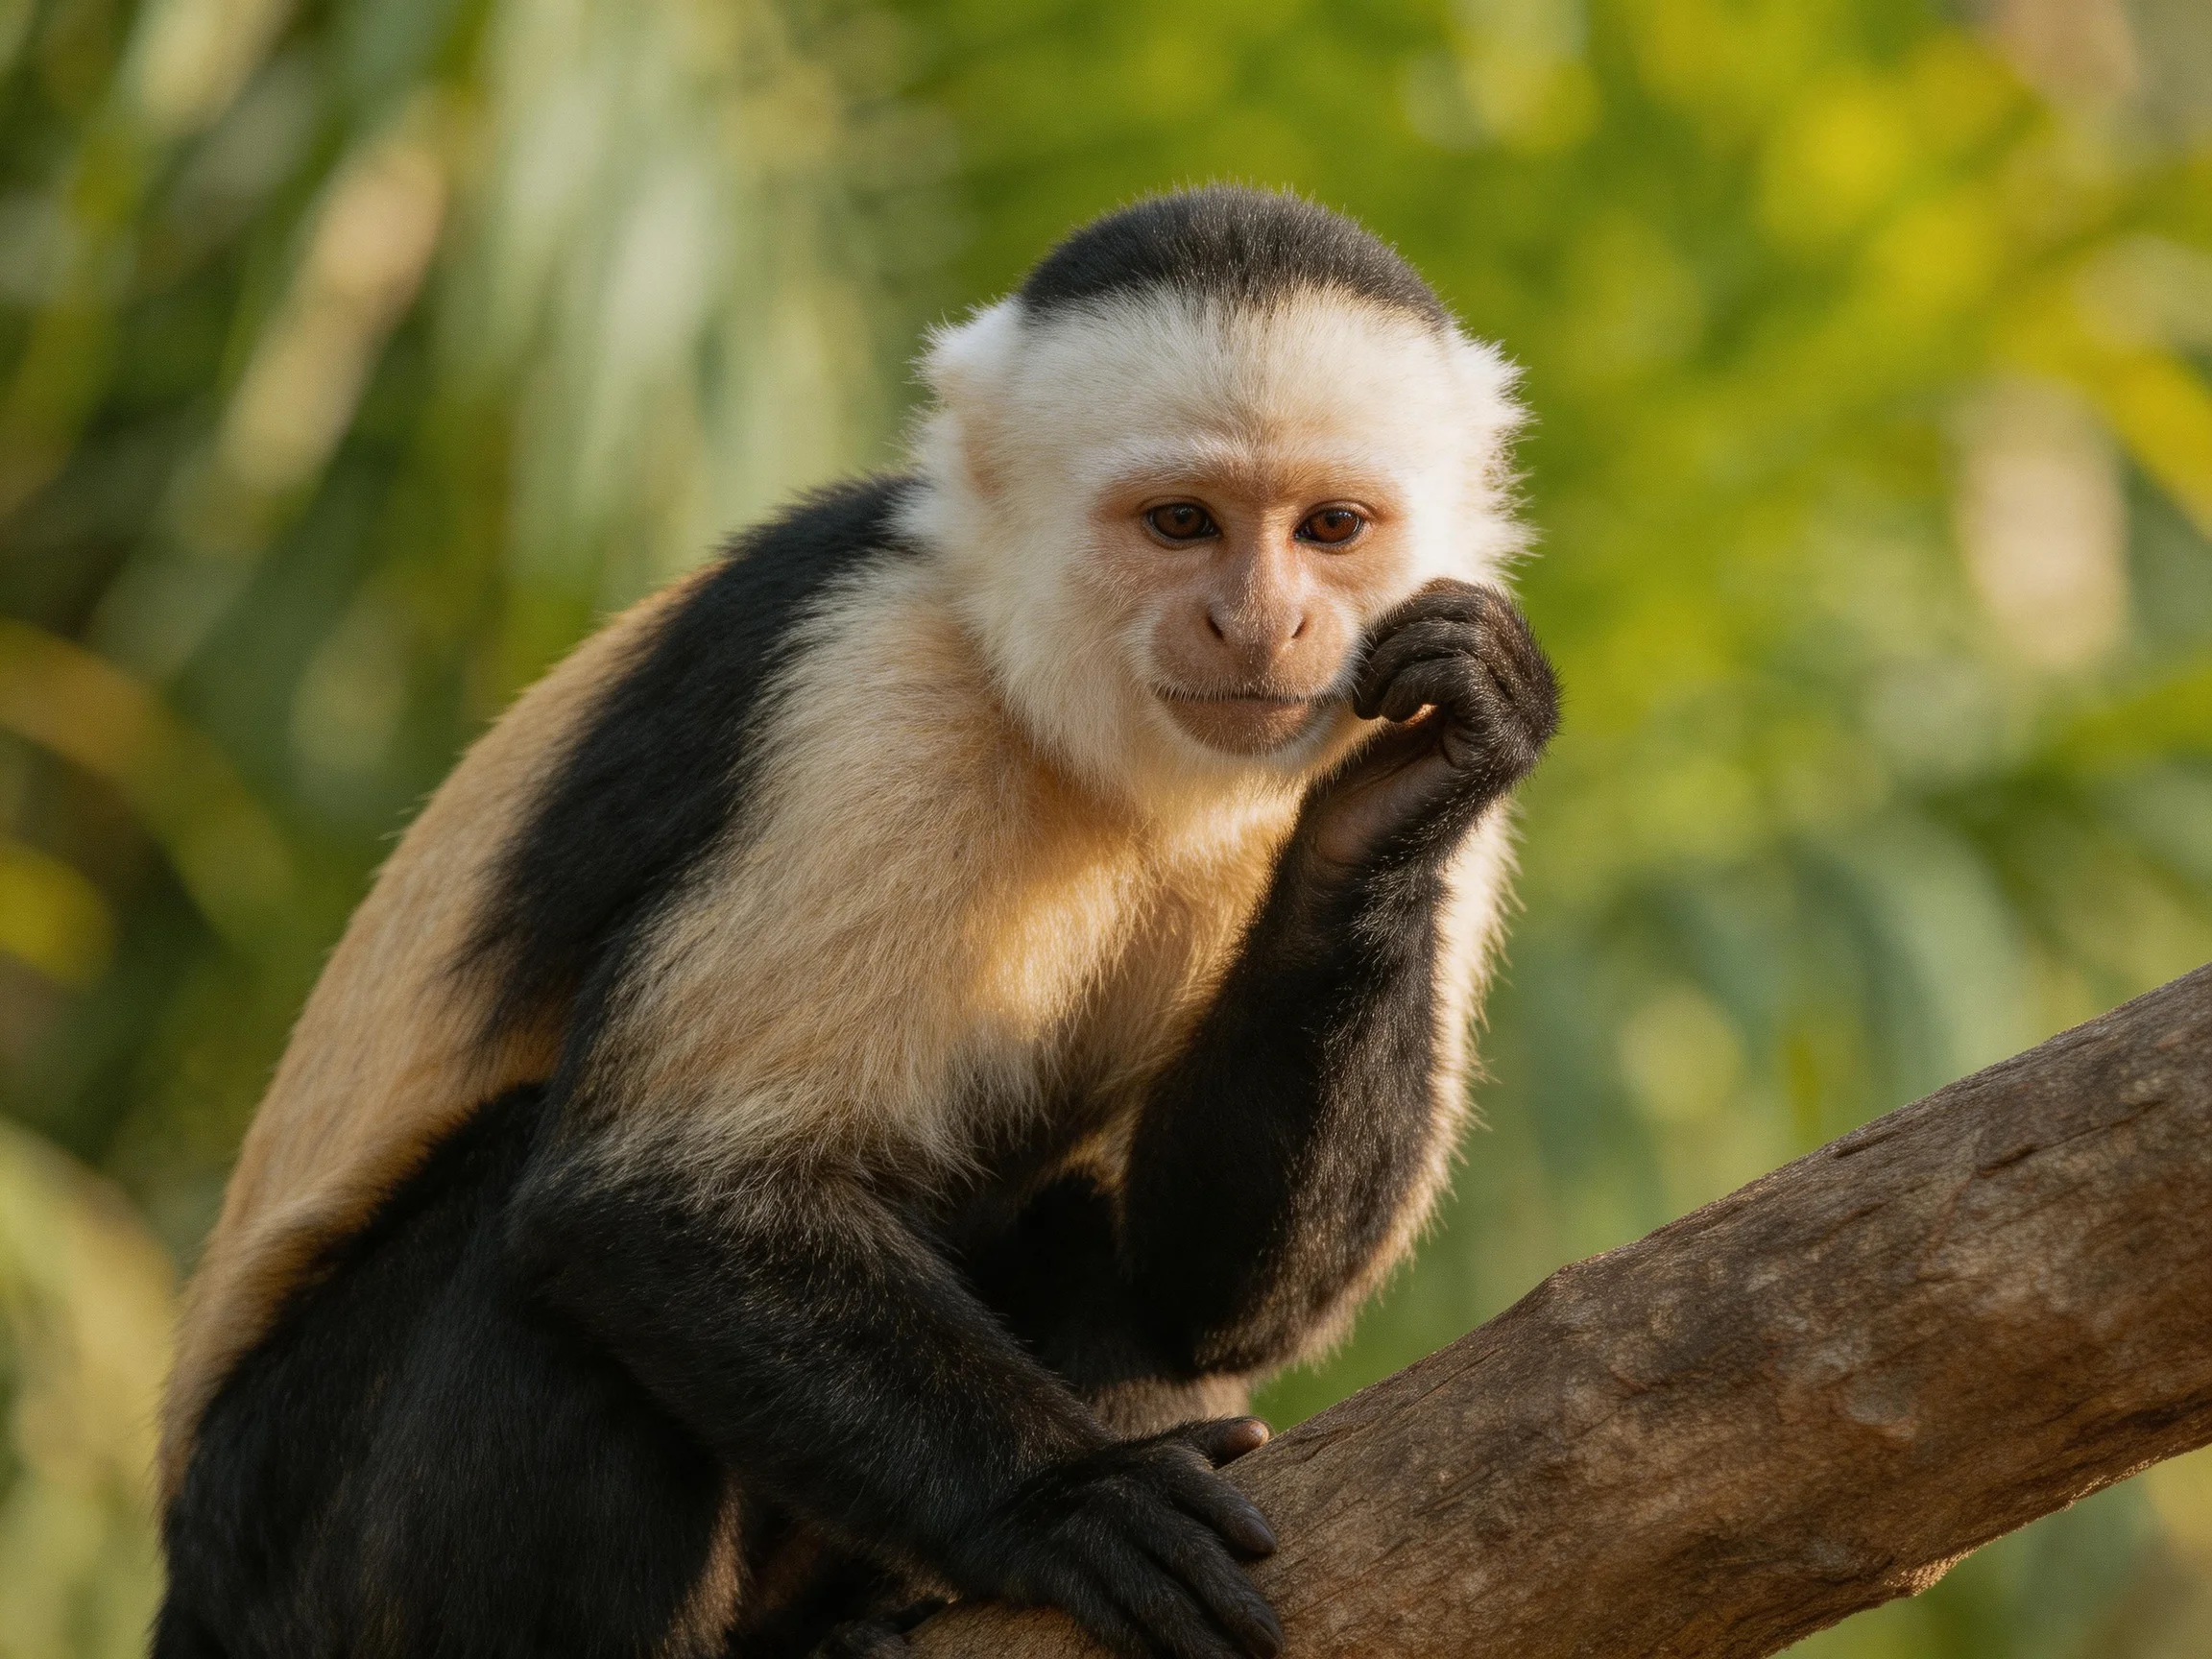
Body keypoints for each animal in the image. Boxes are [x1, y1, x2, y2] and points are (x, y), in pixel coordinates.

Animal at [152, 185, 1557, 1659]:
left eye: (1330, 528)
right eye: (1181, 523)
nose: (1261, 622)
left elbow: (1208, 1295)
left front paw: (1420, 781)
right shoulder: (865, 686)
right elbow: (657, 1199)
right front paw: (1063, 1501)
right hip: (276, 1548)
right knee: (526, 1255)